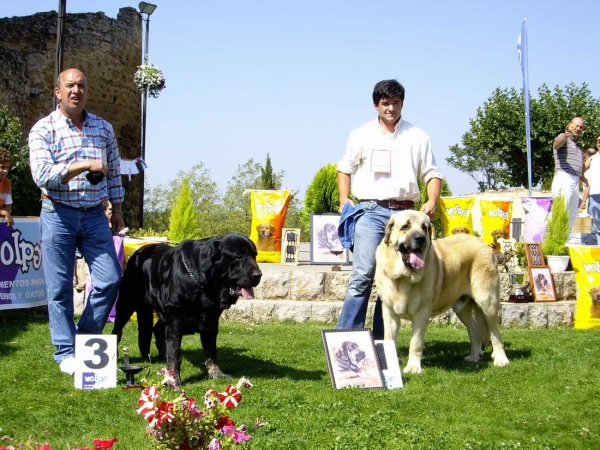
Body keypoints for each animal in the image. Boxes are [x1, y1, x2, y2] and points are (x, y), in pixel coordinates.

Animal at [113, 234, 262, 384]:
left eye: (254, 256)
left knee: (157, 329)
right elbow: (175, 355)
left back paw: (163, 353)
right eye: (238, 257)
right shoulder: (174, 321)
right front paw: (173, 379)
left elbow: (211, 353)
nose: (258, 275)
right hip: (126, 303)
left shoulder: (211, 322)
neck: (204, 285)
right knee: (117, 330)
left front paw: (216, 374)